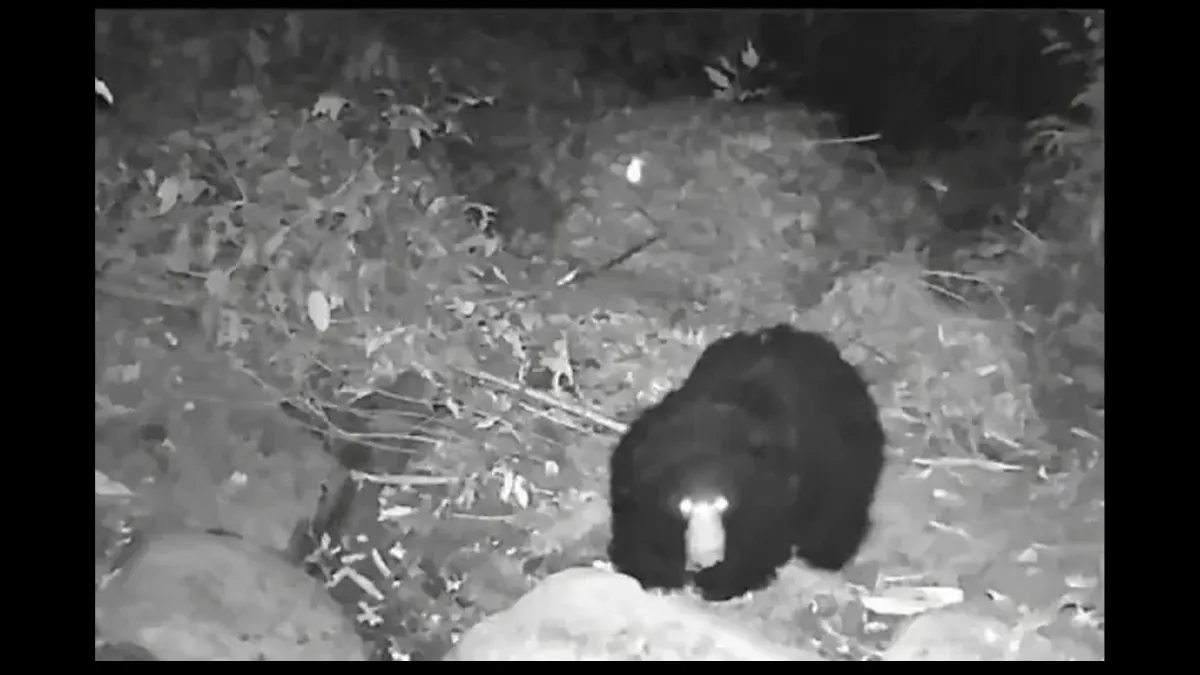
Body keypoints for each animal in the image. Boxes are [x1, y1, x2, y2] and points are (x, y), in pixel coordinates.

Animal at [607, 324, 886, 602]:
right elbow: (638, 529)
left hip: (847, 454)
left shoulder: (772, 485)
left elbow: (759, 538)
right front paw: (659, 576)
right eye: (683, 506)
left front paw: (719, 583)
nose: (707, 558)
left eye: (724, 503)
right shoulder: (633, 472)